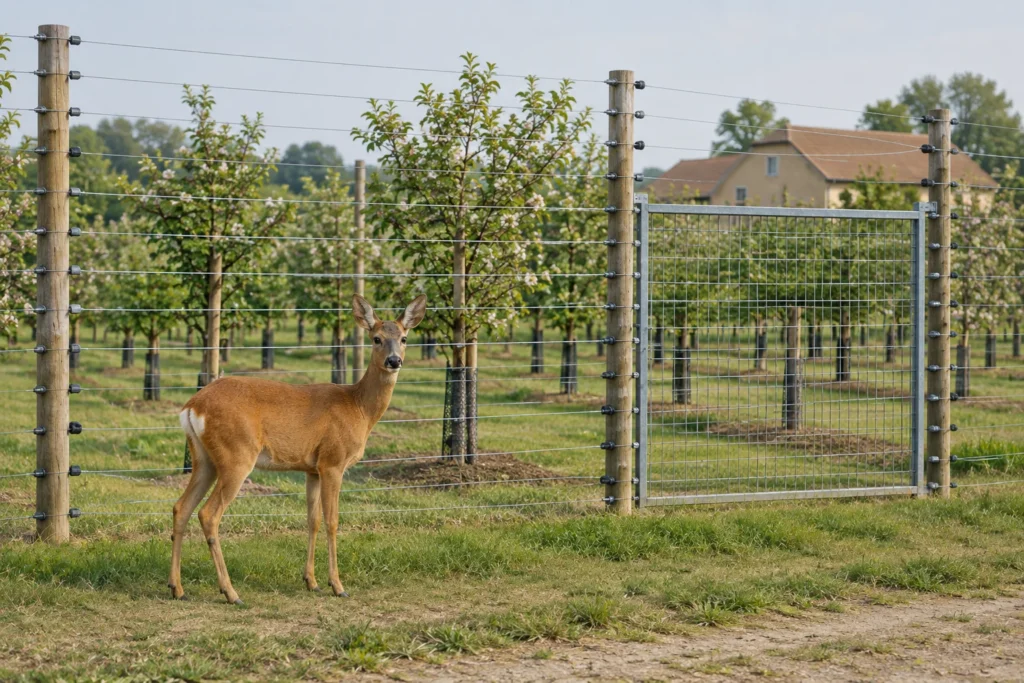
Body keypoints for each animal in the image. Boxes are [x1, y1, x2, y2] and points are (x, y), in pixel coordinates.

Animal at [168, 294, 427, 604]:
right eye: (376, 338)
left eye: (403, 338)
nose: (394, 360)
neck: (358, 408)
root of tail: (192, 406)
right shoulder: (333, 461)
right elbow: (332, 520)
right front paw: (337, 585)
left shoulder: (311, 469)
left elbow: (312, 520)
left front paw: (311, 582)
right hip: (236, 455)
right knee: (208, 514)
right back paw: (231, 592)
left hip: (203, 458)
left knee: (181, 507)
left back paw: (177, 588)